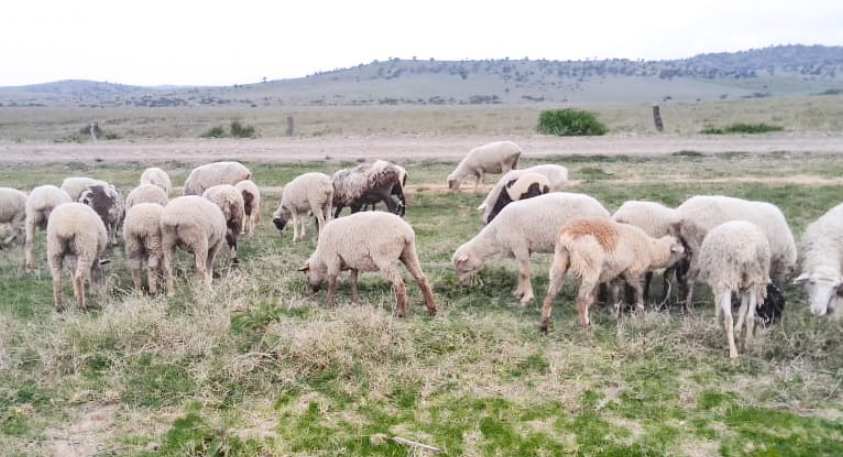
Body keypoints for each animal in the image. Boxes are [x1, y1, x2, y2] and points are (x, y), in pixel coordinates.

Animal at [299, 212, 437, 317]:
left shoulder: (333, 259)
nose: (311, 291)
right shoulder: (353, 263)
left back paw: (399, 312)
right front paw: (355, 301)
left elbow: (332, 283)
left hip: (384, 258)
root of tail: (405, 232)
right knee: (422, 279)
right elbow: (353, 282)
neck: (321, 259)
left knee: (399, 284)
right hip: (409, 252)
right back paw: (432, 310)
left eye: (307, 276)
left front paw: (328, 305)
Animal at [452, 192, 610, 306]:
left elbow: (524, 273)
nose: (461, 284)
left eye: (462, 268)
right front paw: (519, 292)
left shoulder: (519, 244)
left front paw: (527, 297)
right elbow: (521, 272)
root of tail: (605, 213)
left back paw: (590, 299)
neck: (496, 234)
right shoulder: (523, 248)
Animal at [539, 217, 686, 332]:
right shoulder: (631, 272)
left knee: (550, 294)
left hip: (560, 260)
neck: (652, 250)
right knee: (581, 298)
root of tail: (567, 236)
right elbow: (638, 290)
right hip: (590, 266)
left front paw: (614, 313)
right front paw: (640, 309)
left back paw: (544, 325)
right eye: (680, 245)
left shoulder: (616, 274)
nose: (687, 254)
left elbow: (614, 294)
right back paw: (586, 326)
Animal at [697, 221, 771, 359]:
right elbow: (743, 309)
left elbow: (718, 305)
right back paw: (748, 345)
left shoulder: (719, 281)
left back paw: (733, 352)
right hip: (754, 278)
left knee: (728, 319)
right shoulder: (744, 285)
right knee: (750, 317)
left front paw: (716, 325)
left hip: (727, 276)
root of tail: (747, 251)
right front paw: (738, 331)